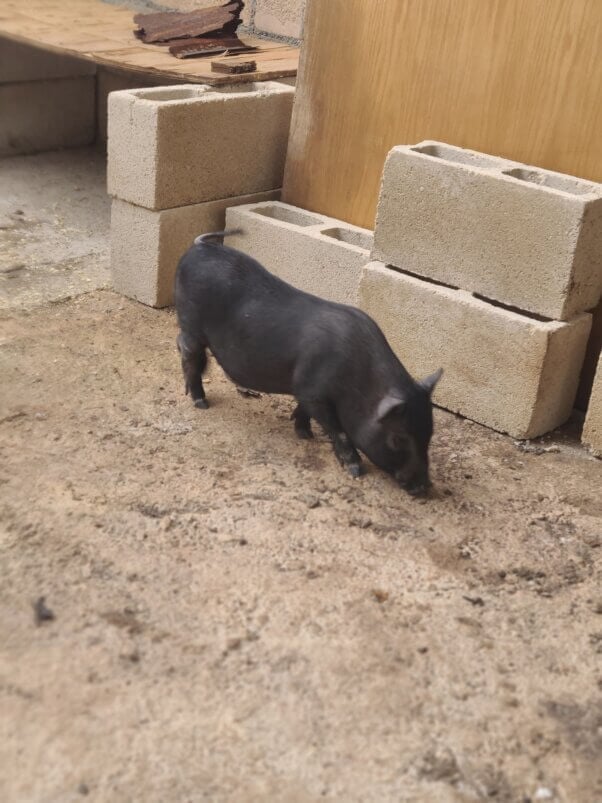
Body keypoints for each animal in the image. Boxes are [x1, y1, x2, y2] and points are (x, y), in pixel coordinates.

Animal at [175, 231, 442, 495]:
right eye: (398, 438)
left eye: (429, 432)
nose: (424, 487)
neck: (358, 381)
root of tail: (198, 247)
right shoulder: (313, 391)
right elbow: (338, 429)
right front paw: (355, 469)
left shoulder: (305, 391)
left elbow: (304, 411)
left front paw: (304, 435)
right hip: (190, 324)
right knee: (188, 353)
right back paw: (201, 403)